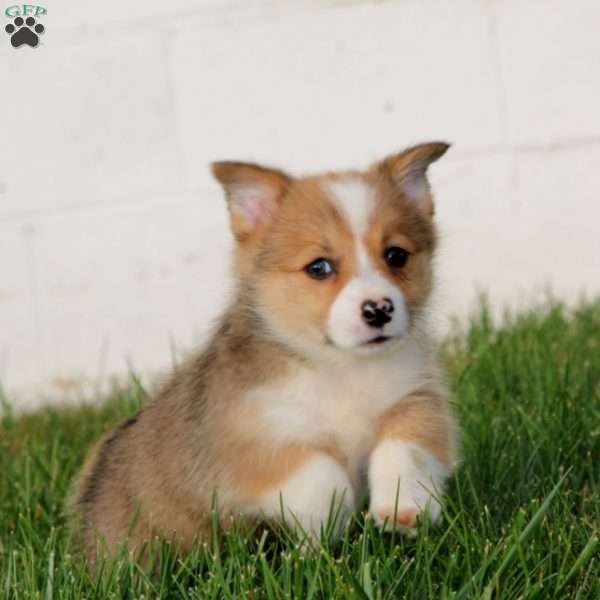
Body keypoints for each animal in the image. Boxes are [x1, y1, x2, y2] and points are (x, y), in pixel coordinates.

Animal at [71, 143, 460, 568]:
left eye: (396, 255)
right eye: (319, 267)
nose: (378, 310)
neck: (339, 367)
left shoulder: (414, 400)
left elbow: (405, 449)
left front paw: (404, 509)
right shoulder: (253, 445)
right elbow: (324, 475)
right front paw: (319, 538)